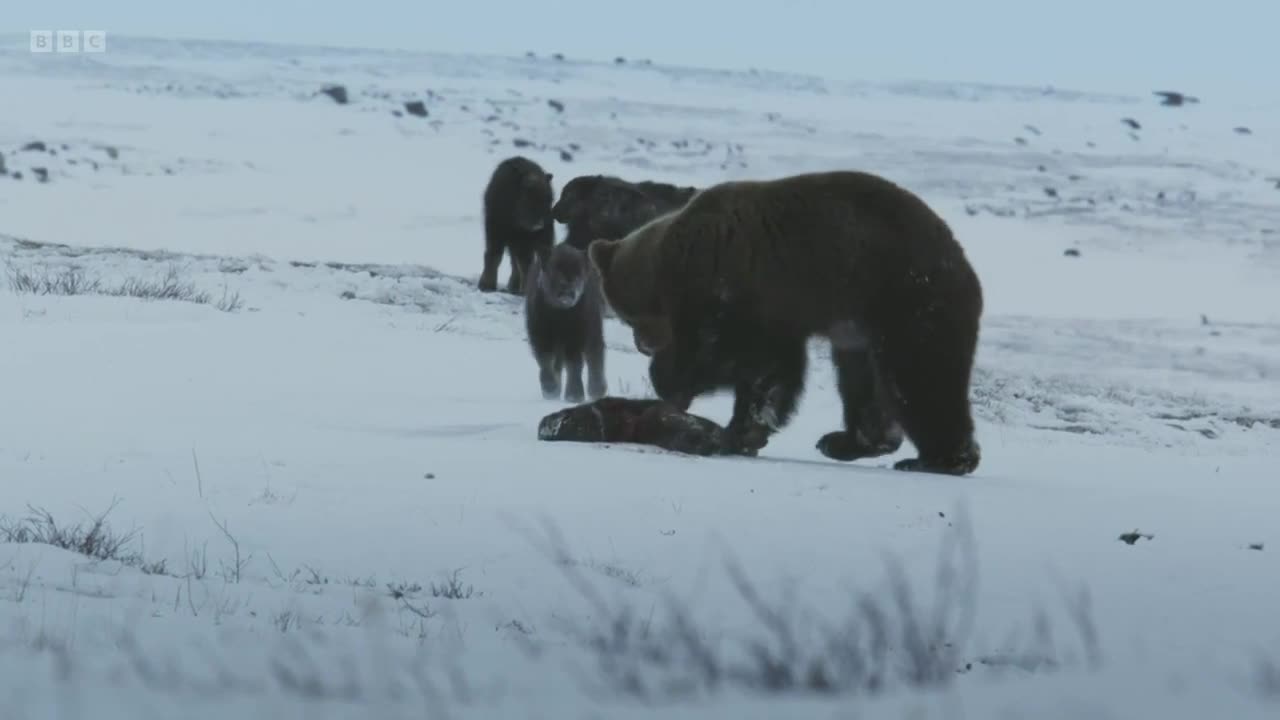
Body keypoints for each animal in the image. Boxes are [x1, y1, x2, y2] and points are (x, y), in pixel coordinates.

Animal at [586, 167, 983, 476]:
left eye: (627, 315)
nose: (642, 345)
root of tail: (963, 262)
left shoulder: (731, 286)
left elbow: (725, 356)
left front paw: (681, 391)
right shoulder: (775, 312)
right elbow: (774, 371)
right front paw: (747, 429)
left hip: (903, 297)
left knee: (919, 377)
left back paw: (941, 459)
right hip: (858, 327)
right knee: (865, 381)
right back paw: (847, 441)